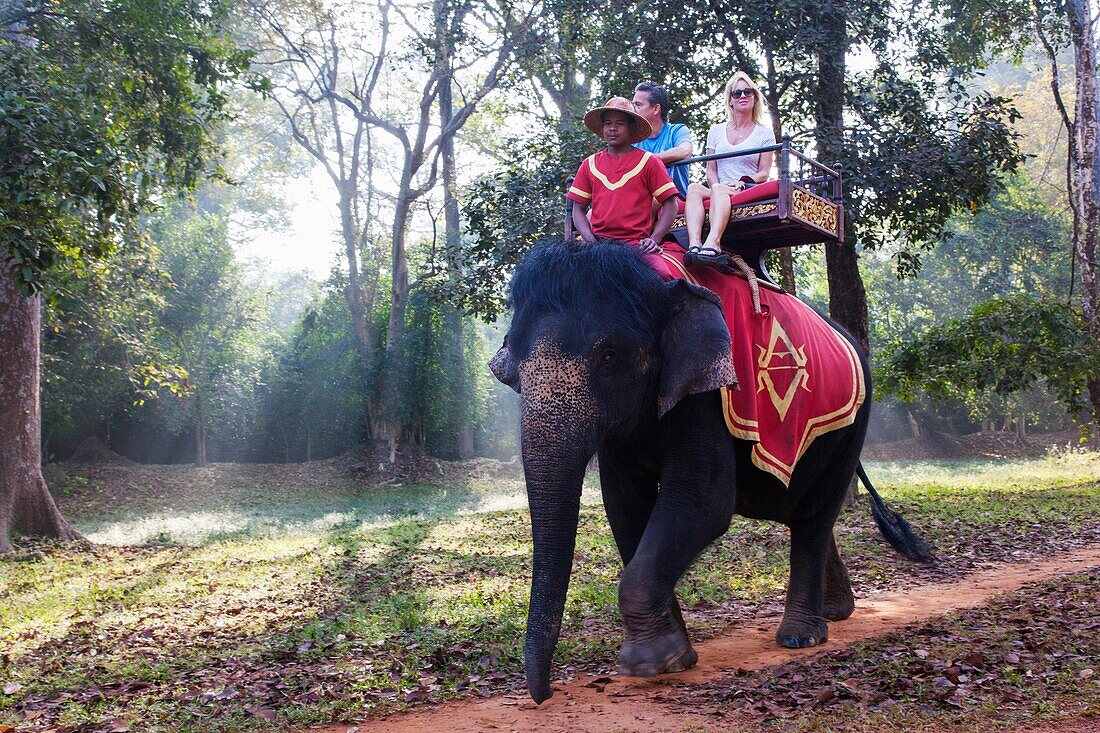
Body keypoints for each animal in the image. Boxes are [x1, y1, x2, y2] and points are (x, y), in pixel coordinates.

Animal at [490, 239, 928, 704]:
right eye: (515, 365)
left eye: (609, 357)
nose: (545, 694)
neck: (653, 280)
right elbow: (625, 508)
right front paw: (675, 657)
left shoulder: (708, 393)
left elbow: (704, 499)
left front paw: (648, 663)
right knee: (808, 513)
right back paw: (836, 611)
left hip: (851, 427)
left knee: (815, 516)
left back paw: (801, 637)